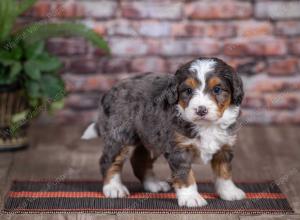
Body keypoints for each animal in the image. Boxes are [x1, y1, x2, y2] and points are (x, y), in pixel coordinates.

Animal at [81, 57, 245, 208]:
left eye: (217, 89)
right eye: (188, 91)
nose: (201, 110)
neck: (206, 126)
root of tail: (111, 90)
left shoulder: (224, 147)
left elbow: (224, 172)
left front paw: (229, 192)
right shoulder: (179, 149)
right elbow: (185, 174)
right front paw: (191, 197)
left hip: (151, 136)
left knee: (139, 160)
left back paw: (153, 184)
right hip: (121, 134)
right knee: (109, 160)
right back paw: (114, 188)